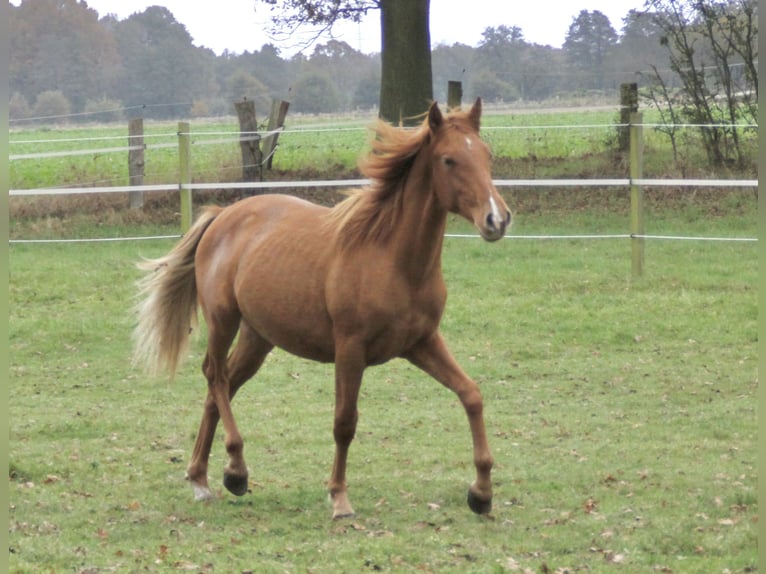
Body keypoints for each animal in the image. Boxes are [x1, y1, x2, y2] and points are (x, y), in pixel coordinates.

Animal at [135, 100, 512, 520]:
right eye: (448, 160)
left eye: (485, 155)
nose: (497, 219)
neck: (393, 258)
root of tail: (222, 216)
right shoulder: (350, 349)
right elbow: (344, 422)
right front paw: (339, 497)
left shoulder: (422, 342)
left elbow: (471, 395)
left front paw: (481, 492)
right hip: (223, 320)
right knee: (215, 377)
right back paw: (235, 469)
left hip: (258, 337)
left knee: (222, 388)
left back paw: (201, 478)